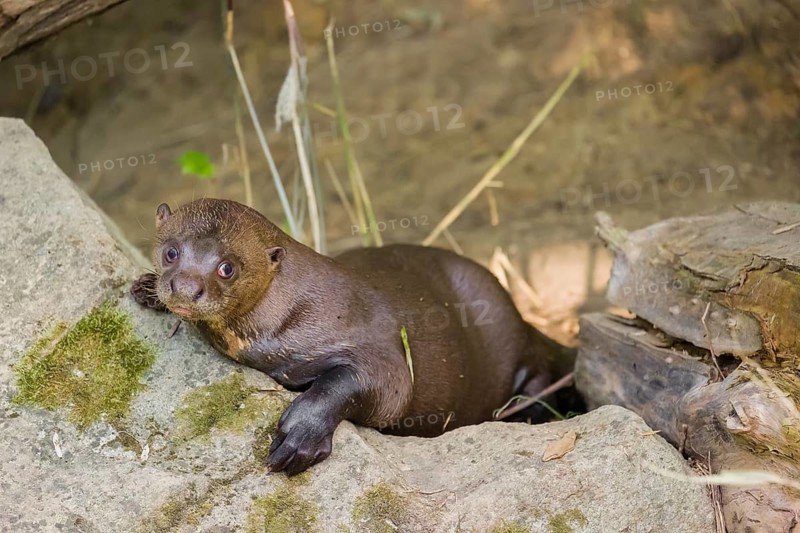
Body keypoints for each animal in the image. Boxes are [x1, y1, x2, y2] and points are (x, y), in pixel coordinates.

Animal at [132, 199, 570, 475]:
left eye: (227, 267)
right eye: (171, 252)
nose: (185, 288)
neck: (295, 310)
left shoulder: (375, 344)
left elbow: (373, 386)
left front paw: (300, 437)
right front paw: (147, 288)